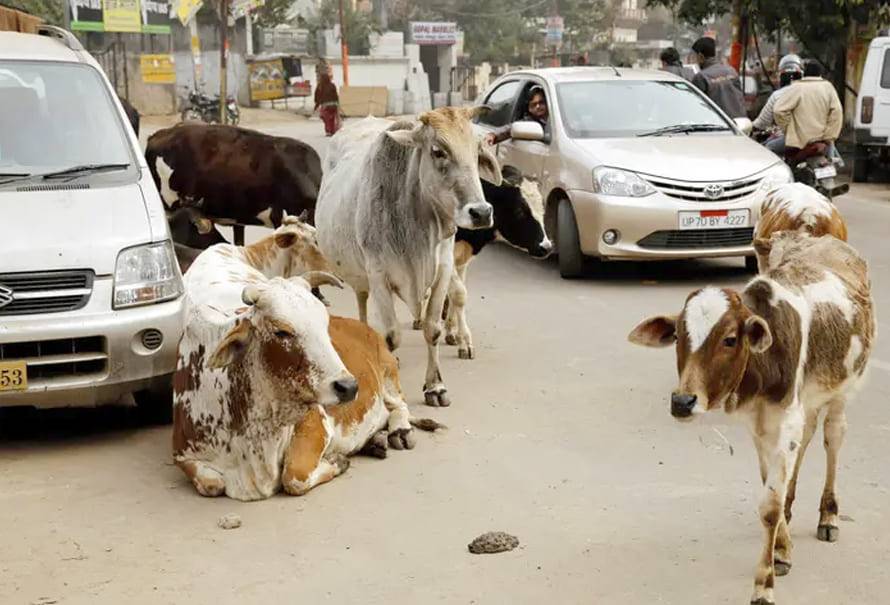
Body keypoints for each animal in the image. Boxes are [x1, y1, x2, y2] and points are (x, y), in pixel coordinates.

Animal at [318, 107, 500, 406]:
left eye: (476, 151)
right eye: (438, 151)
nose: (481, 213)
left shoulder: (443, 271)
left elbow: (433, 329)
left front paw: (435, 386)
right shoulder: (378, 275)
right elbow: (392, 335)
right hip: (360, 274)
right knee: (362, 303)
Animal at [628, 231, 872, 604]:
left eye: (730, 339)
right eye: (678, 337)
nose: (682, 401)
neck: (763, 363)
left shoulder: (786, 419)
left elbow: (769, 506)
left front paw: (764, 584)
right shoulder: (760, 427)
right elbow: (769, 488)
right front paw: (782, 550)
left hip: (842, 392)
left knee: (832, 438)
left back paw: (829, 515)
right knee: (806, 440)